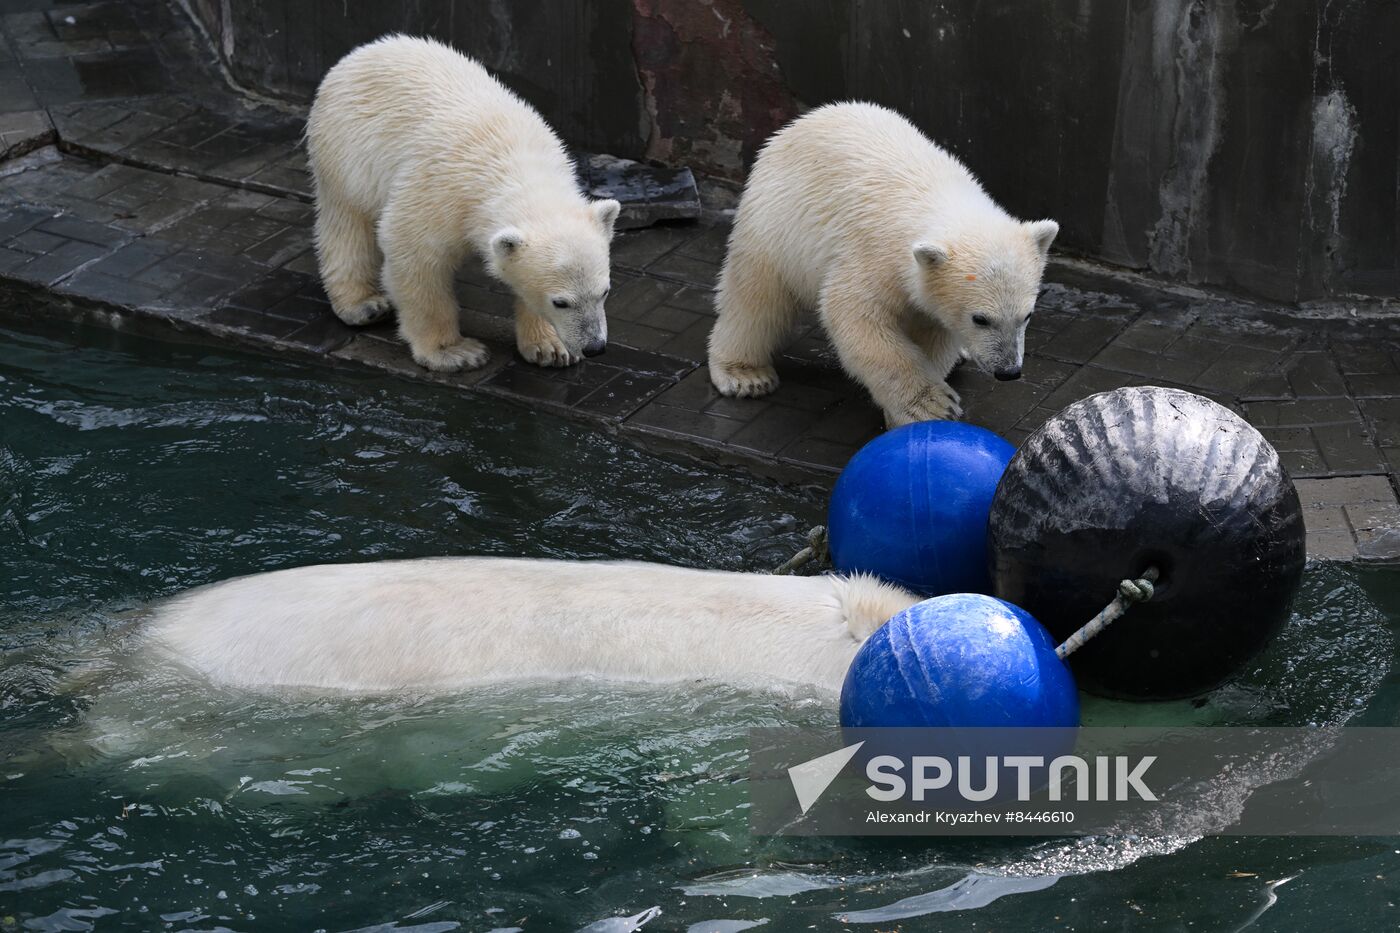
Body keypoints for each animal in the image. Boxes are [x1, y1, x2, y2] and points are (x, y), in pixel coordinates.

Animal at [306, 35, 620, 372]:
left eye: (604, 291)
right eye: (560, 301)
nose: (595, 347)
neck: (514, 166)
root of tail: (364, 51)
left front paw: (551, 347)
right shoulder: (438, 193)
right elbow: (415, 256)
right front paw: (455, 352)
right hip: (347, 152)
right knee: (348, 223)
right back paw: (363, 305)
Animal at [707, 102, 1060, 427]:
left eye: (1027, 315)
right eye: (981, 319)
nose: (1008, 371)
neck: (937, 202)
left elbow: (932, 331)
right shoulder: (874, 254)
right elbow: (856, 316)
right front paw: (929, 406)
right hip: (776, 226)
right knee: (758, 297)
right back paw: (745, 374)